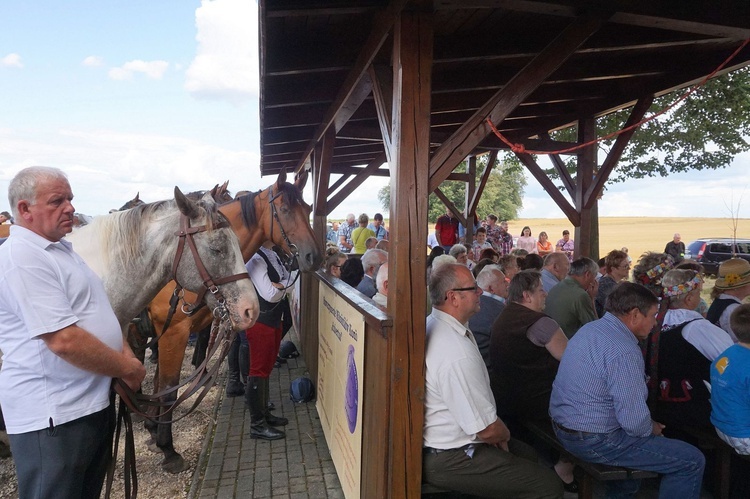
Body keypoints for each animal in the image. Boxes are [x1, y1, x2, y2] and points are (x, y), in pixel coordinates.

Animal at [141, 171, 324, 472]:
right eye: (285, 209)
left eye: (308, 209)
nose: (314, 256)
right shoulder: (173, 333)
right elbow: (166, 388)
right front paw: (168, 449)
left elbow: (159, 383)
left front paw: (153, 428)